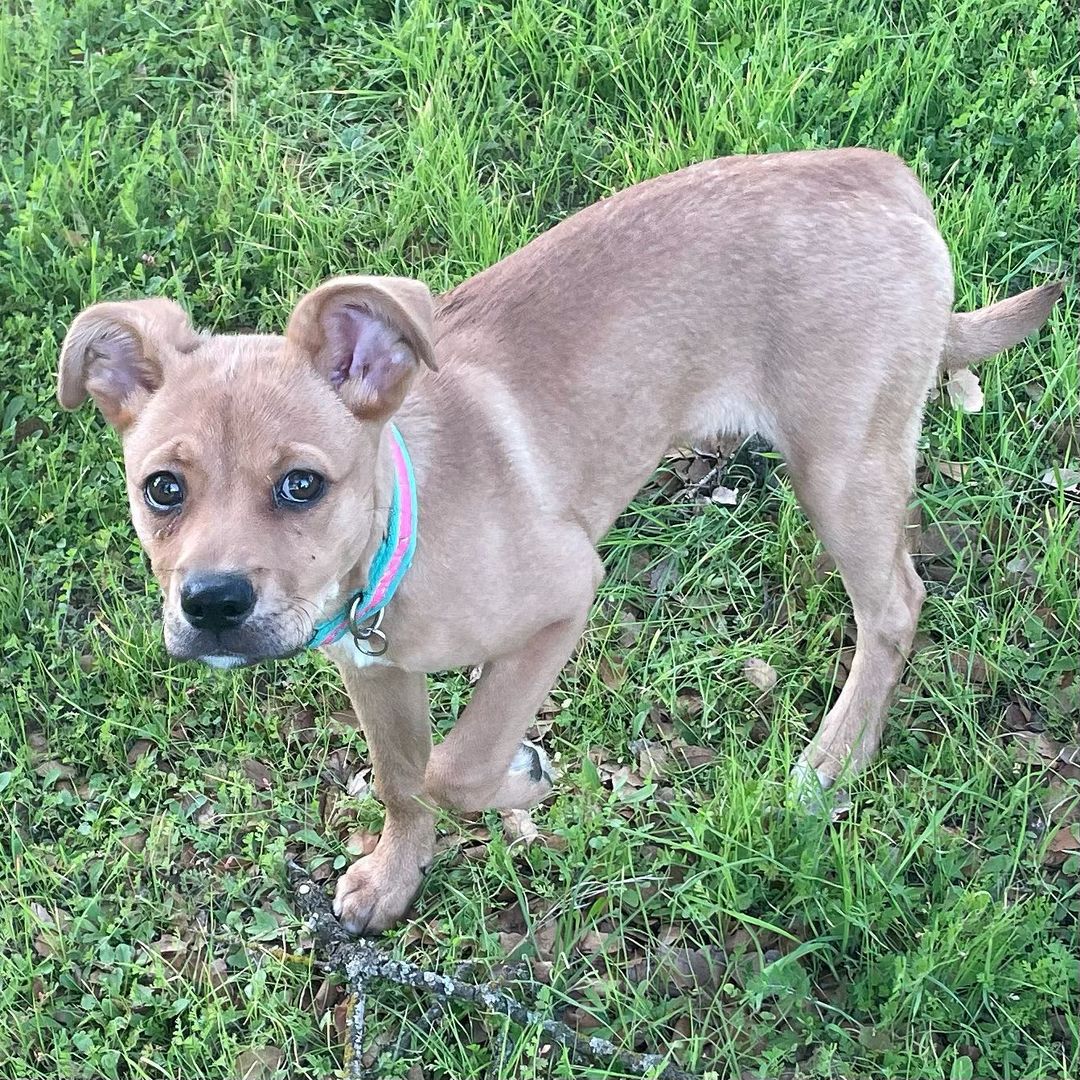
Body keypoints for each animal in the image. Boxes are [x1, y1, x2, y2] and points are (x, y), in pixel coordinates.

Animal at [56, 147, 1062, 933]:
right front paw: (394, 876)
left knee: (895, 604)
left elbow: (456, 766)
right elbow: (400, 776)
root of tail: (879, 174)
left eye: (302, 485)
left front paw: (524, 777)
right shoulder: (372, 670)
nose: (212, 604)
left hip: (843, 468)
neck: (404, 533)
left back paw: (837, 756)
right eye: (163, 489)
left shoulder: (565, 596)